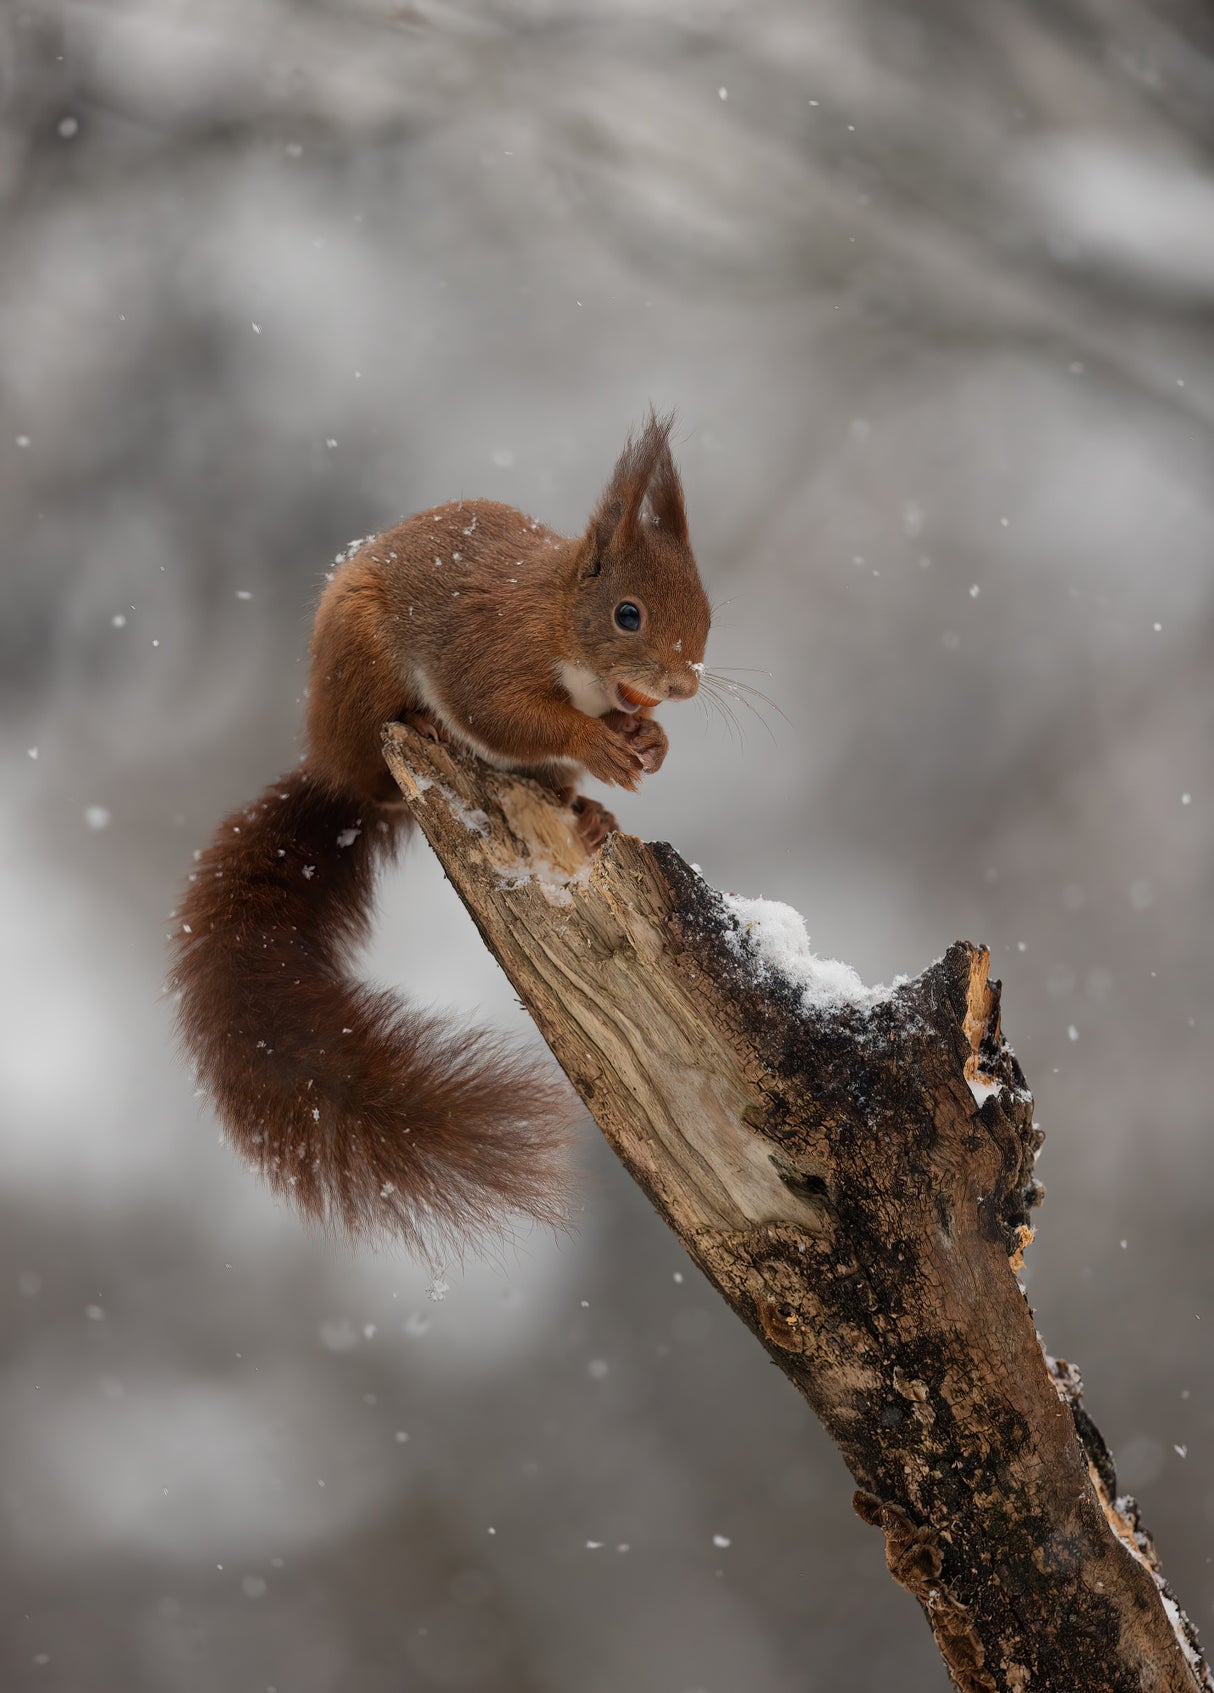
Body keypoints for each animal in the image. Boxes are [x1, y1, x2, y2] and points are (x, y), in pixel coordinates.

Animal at [170, 413, 711, 1256]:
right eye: (629, 613)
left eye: (704, 602)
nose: (684, 684)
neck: (563, 622)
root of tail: (332, 770)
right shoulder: (492, 654)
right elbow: (505, 714)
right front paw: (599, 744)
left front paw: (647, 743)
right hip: (363, 674)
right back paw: (424, 727)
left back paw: (587, 814)